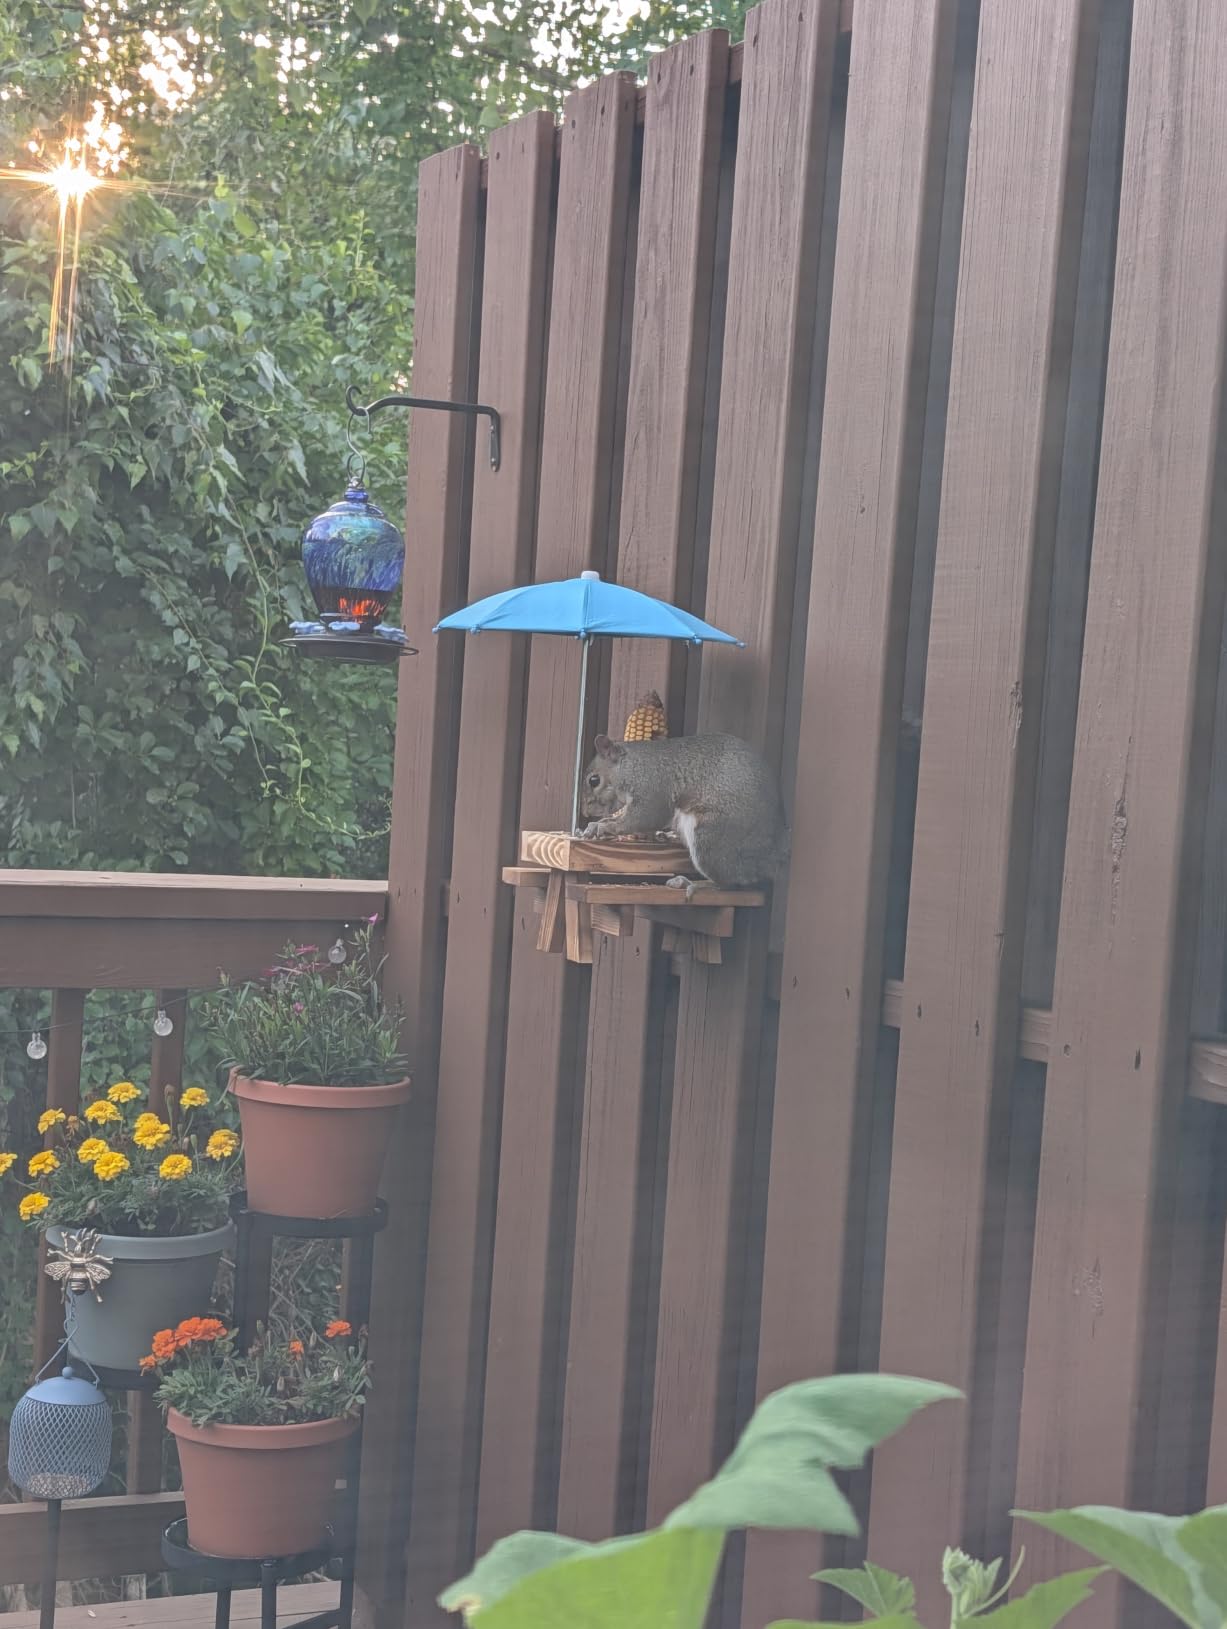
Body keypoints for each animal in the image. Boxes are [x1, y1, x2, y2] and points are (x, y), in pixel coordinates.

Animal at [579, 732, 789, 896]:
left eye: (594, 780)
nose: (586, 812)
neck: (632, 765)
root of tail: (772, 855)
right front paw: (596, 825)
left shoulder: (653, 788)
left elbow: (643, 818)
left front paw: (606, 826)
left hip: (710, 838)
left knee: (729, 883)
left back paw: (691, 884)